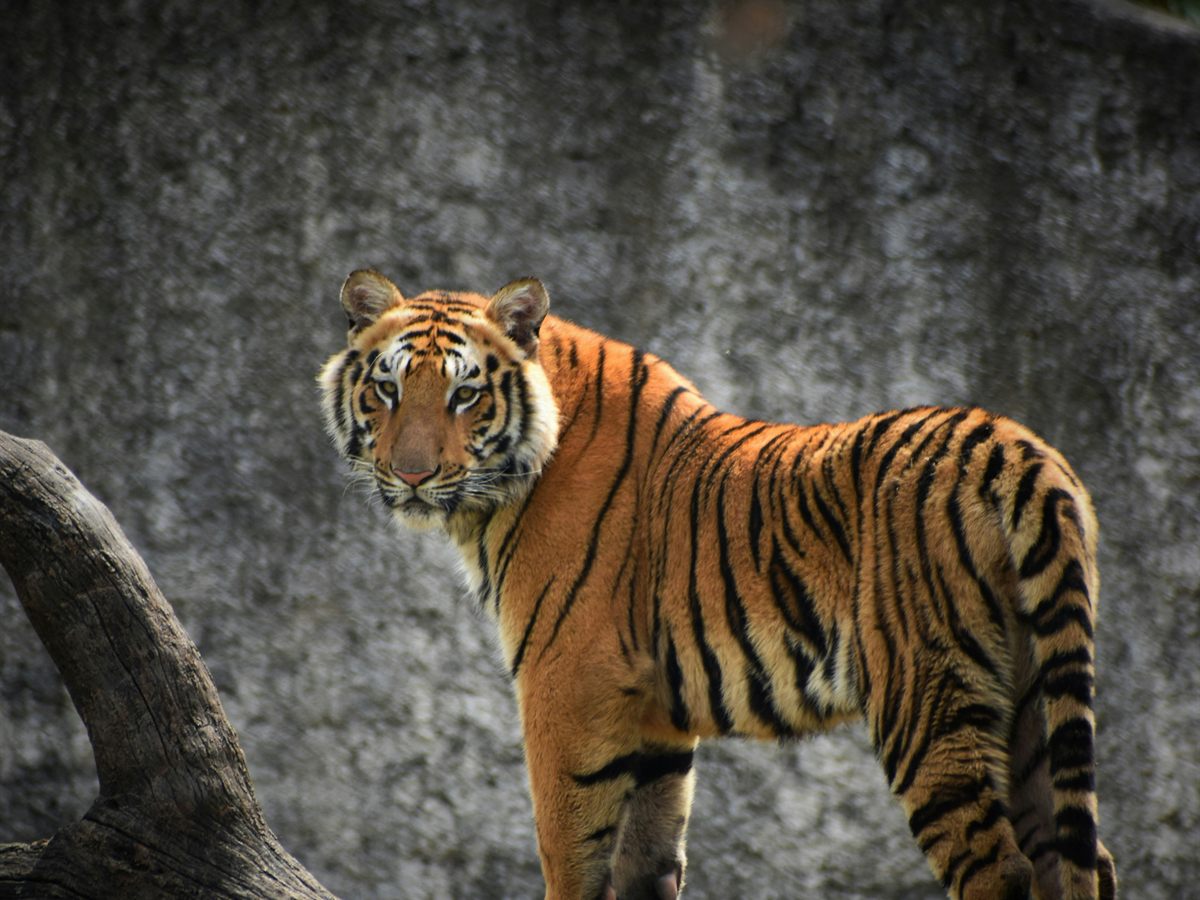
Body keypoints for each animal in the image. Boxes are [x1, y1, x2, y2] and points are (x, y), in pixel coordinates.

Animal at [318, 269, 1117, 900]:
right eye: (387, 389)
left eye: (465, 397)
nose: (411, 475)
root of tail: (1019, 449)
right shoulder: (655, 714)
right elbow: (645, 862)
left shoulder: (565, 680)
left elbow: (570, 854)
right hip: (1032, 699)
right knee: (1080, 860)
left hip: (927, 698)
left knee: (998, 868)